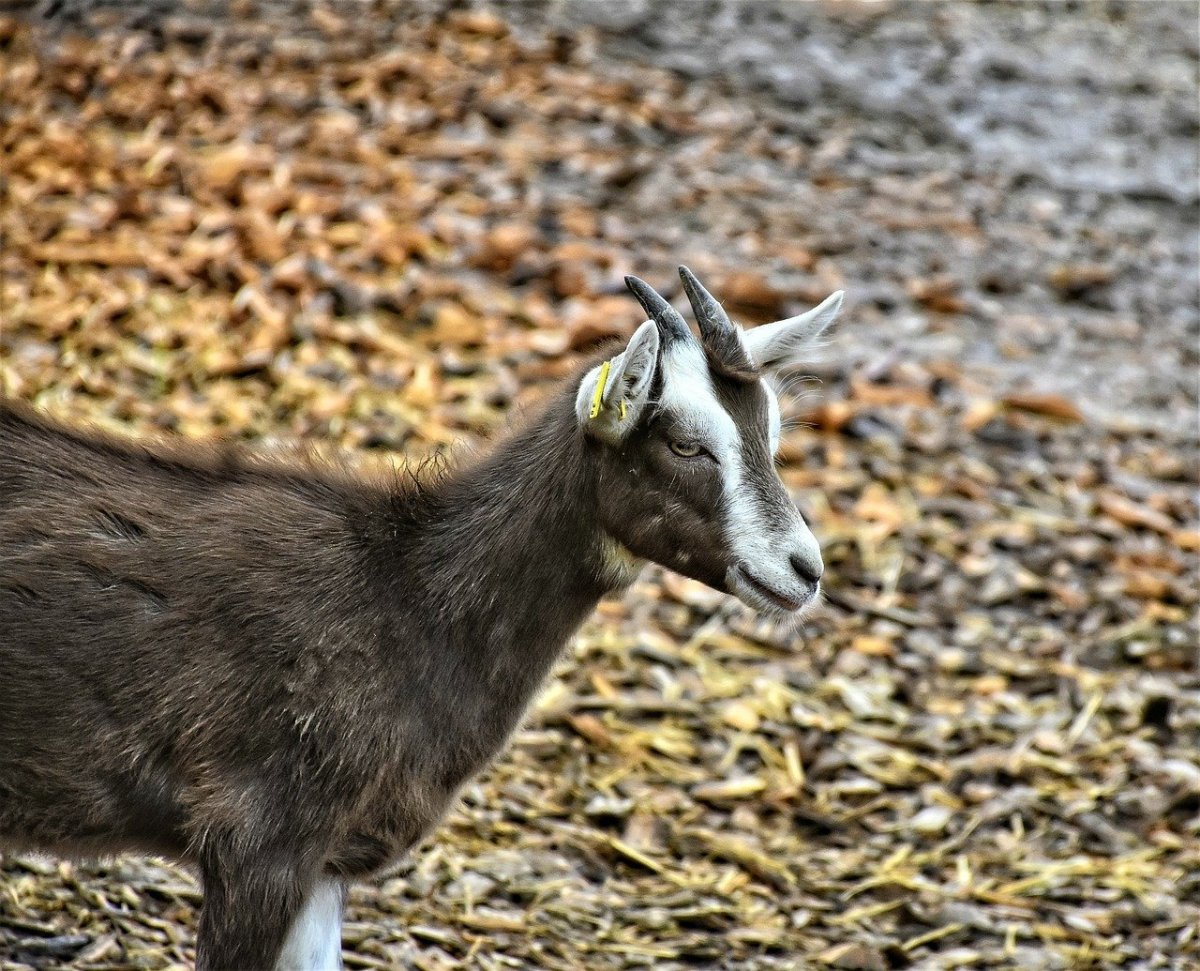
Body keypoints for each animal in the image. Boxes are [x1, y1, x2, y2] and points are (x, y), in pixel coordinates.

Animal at [0, 268, 844, 970]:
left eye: (771, 436)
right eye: (684, 442)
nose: (804, 569)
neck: (406, 595)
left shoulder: (322, 865)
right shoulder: (259, 837)